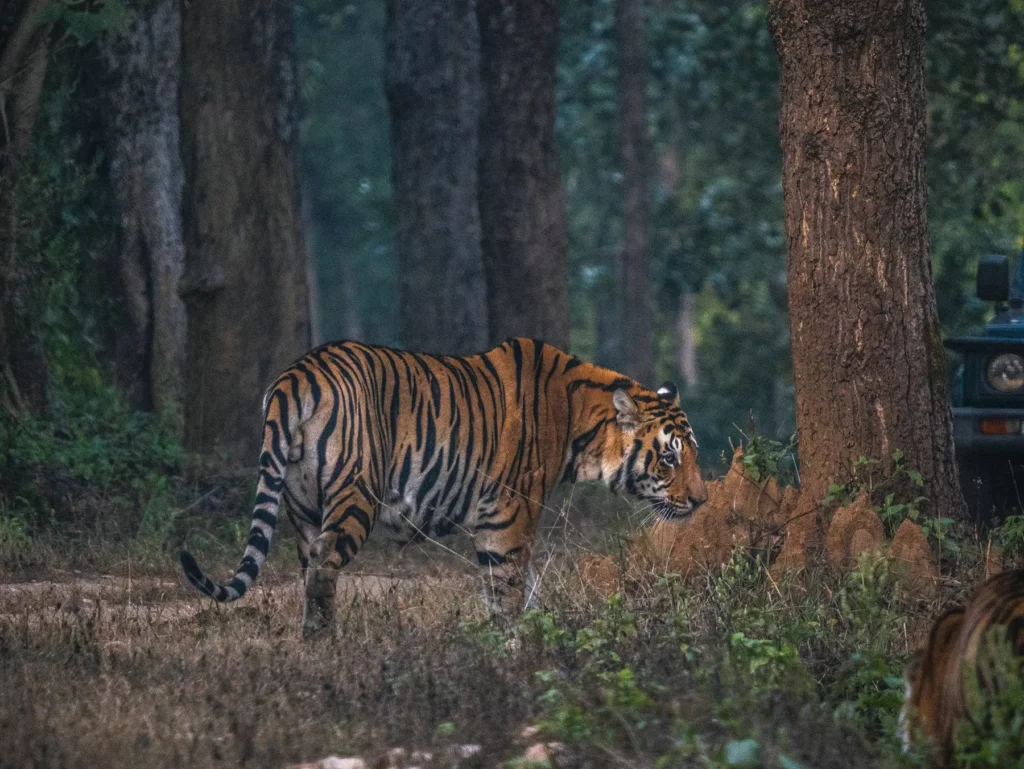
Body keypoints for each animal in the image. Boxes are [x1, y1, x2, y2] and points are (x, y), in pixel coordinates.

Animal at [180, 337, 708, 637]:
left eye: (693, 452)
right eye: (669, 457)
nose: (701, 499)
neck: (580, 423)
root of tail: (297, 374)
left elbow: (521, 586)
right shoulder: (509, 515)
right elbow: (507, 588)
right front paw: (515, 645)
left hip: (301, 502)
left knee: (309, 565)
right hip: (355, 492)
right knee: (325, 563)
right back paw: (325, 643)